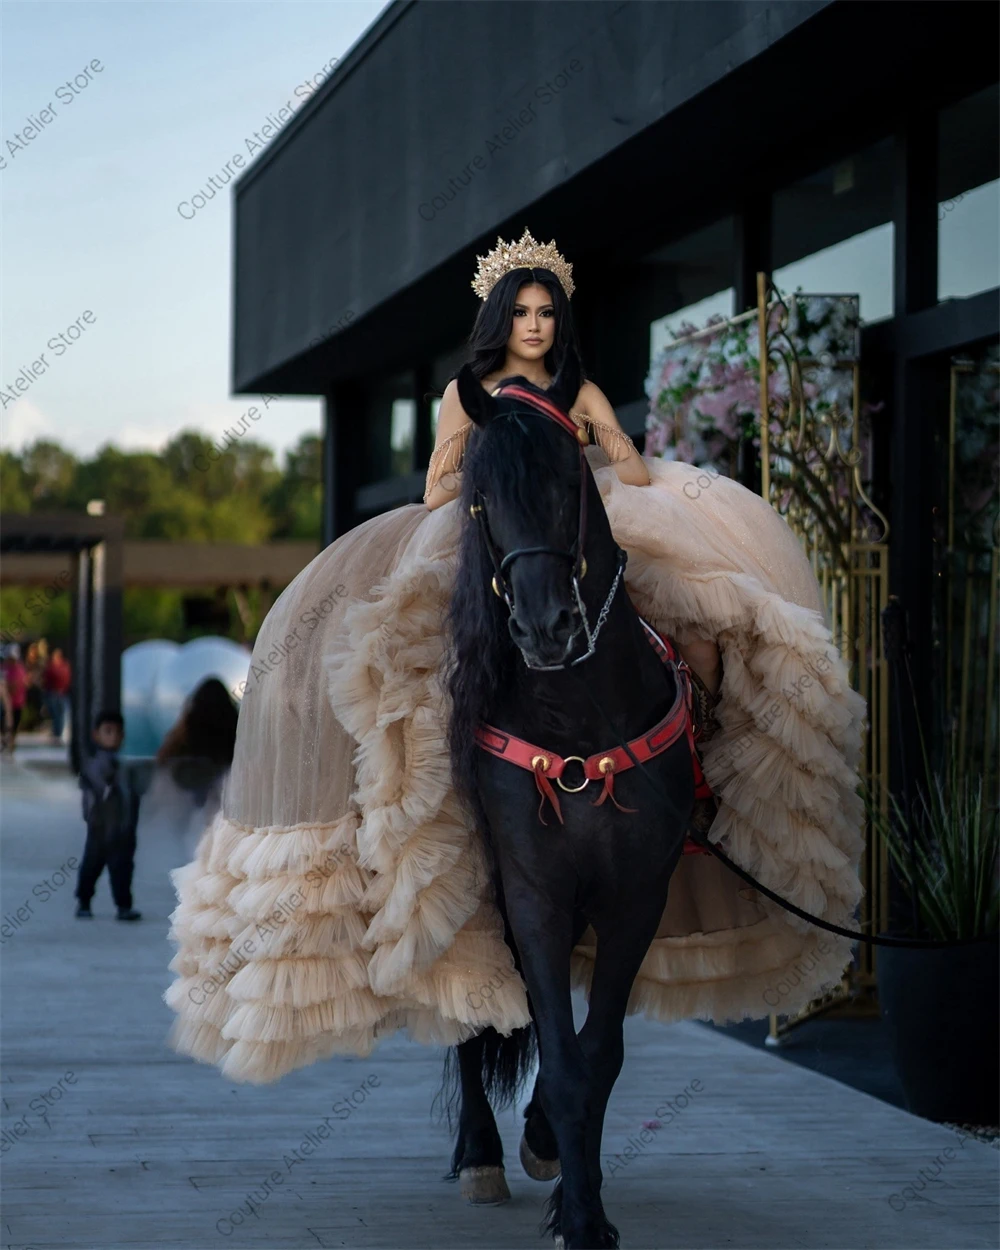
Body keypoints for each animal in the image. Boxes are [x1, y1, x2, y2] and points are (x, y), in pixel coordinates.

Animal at [442, 357, 700, 1245]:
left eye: (565, 481)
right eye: (480, 496)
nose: (547, 627)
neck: (579, 717)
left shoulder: (637, 897)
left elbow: (597, 1055)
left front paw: (572, 1186)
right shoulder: (533, 893)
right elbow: (555, 1053)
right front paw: (580, 1214)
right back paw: (478, 1156)